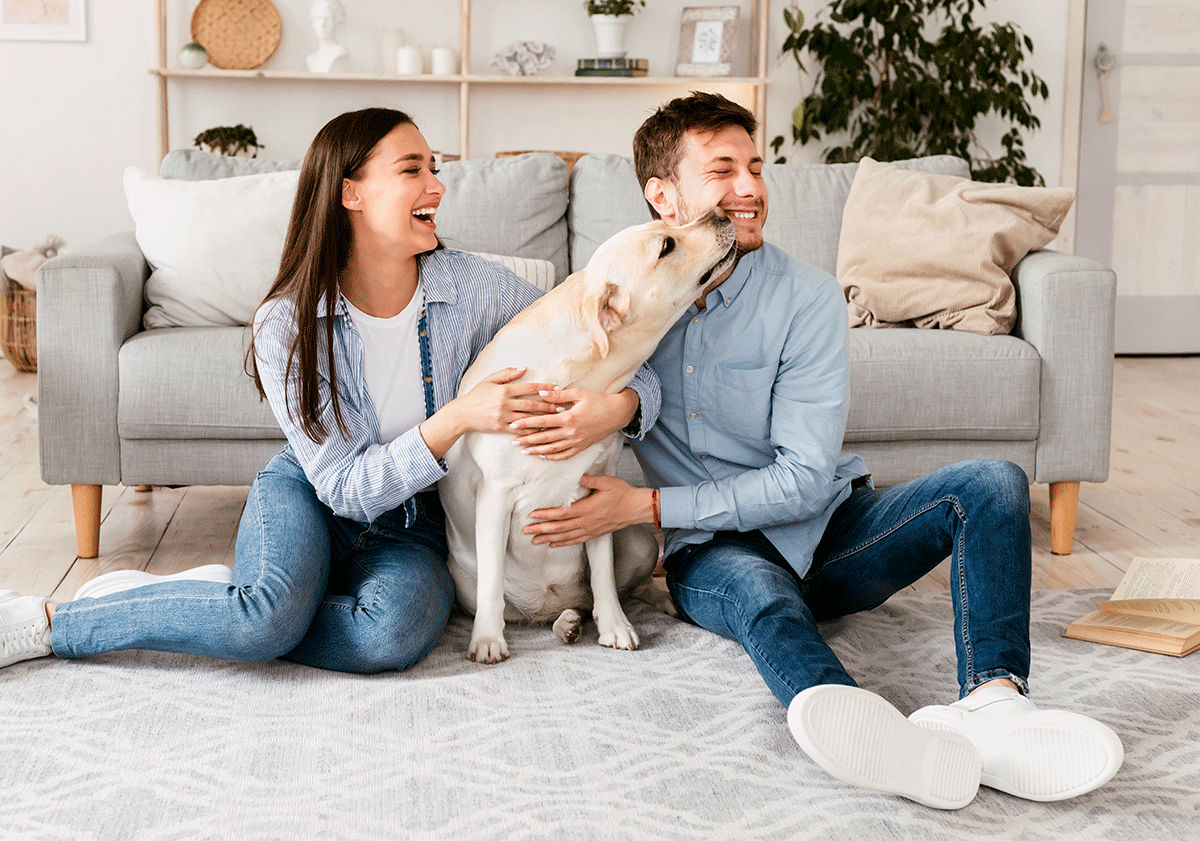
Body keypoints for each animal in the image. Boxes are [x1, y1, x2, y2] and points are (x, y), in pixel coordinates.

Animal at [441, 208, 734, 662]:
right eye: (666, 245)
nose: (720, 212)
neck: (579, 379)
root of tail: (547, 602)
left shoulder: (598, 496)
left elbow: (603, 578)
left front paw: (615, 625)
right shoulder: (494, 496)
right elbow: (492, 583)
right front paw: (487, 639)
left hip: (638, 541)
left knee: (627, 587)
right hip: (463, 581)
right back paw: (564, 623)